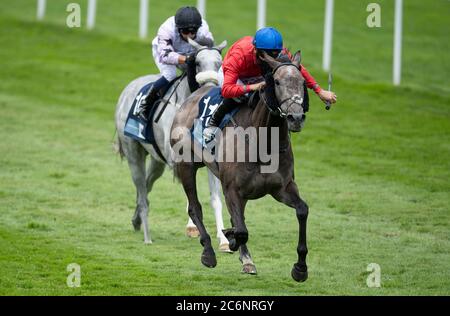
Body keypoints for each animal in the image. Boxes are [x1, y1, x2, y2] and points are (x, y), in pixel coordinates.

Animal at [114, 38, 230, 251]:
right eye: (197, 62)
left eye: (219, 64)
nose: (210, 85)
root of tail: (129, 87)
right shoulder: (177, 159)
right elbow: (190, 196)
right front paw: (192, 227)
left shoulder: (212, 161)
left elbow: (216, 199)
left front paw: (223, 239)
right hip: (133, 151)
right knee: (141, 184)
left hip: (156, 160)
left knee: (146, 184)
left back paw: (136, 219)